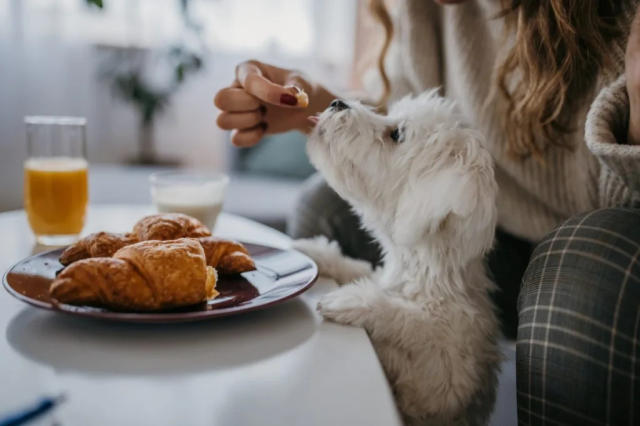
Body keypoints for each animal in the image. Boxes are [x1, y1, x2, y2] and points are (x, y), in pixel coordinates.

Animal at [294, 91, 500, 424]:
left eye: (397, 134)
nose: (337, 102)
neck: (421, 273)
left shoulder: (442, 381)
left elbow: (415, 323)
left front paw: (352, 300)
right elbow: (359, 269)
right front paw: (314, 253)